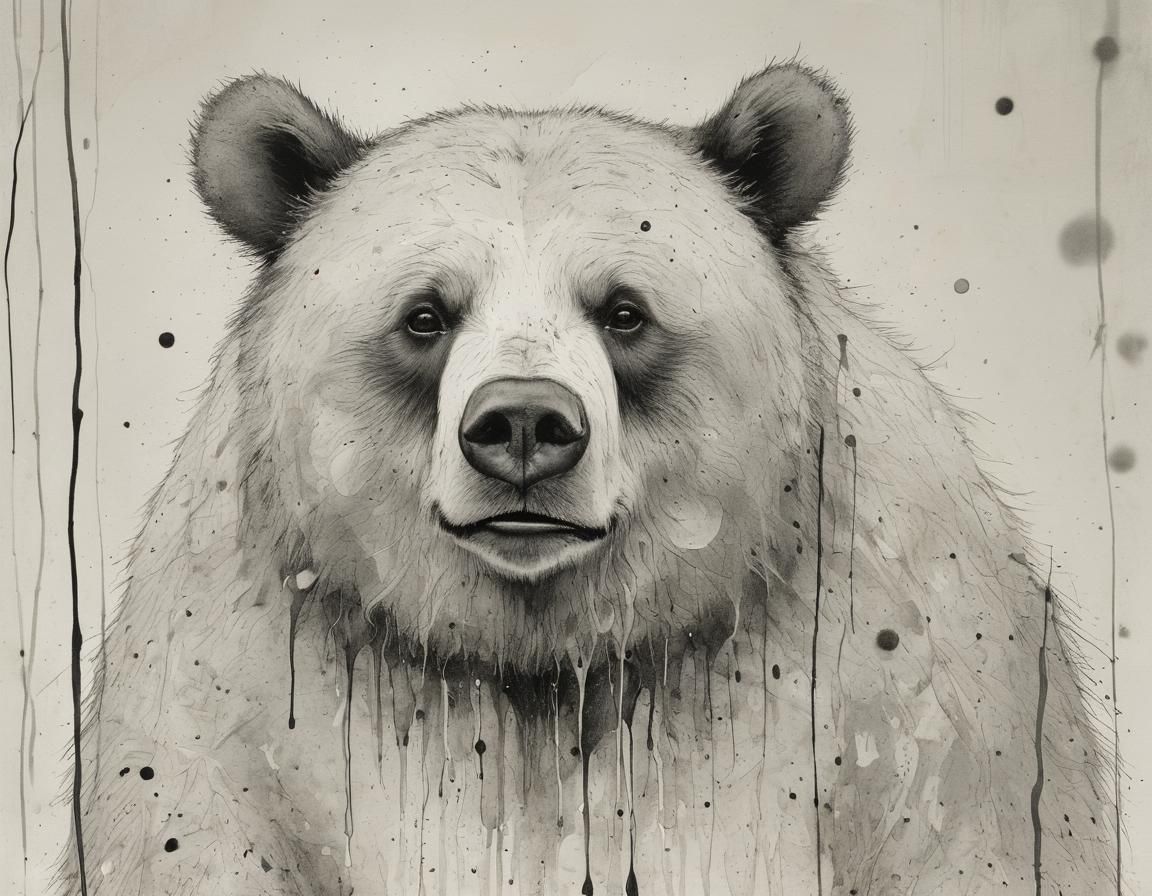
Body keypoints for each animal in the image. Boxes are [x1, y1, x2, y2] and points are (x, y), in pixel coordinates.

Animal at [64, 65, 1117, 895]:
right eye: (424, 315)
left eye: (624, 310)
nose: (524, 426)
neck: (550, 658)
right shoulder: (245, 696)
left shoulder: (900, 692)